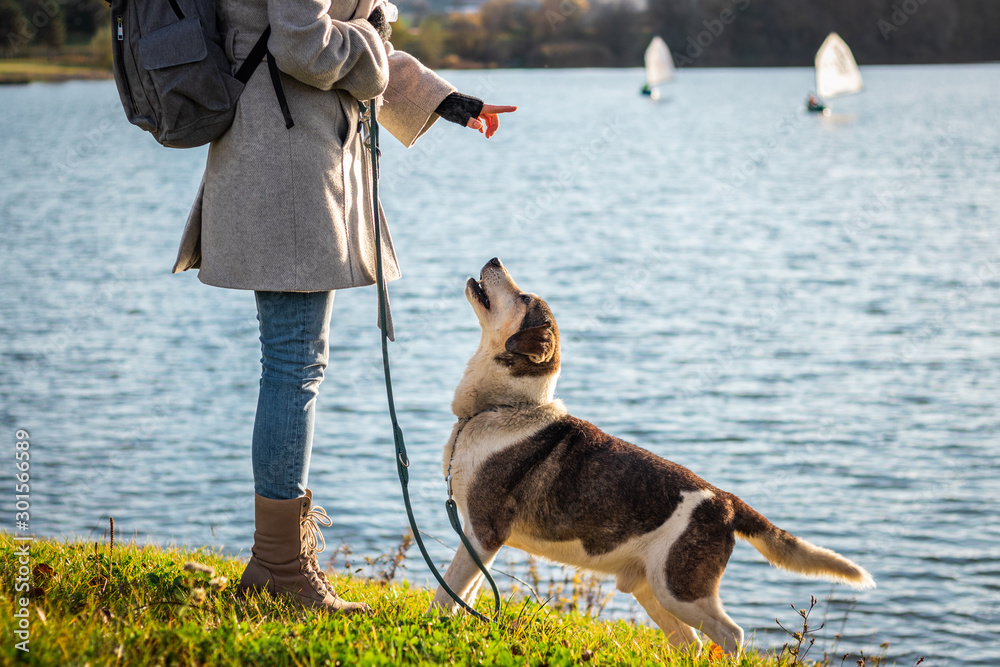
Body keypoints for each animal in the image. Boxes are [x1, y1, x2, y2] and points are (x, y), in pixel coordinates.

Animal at [430, 258, 876, 656]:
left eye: (522, 297)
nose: (494, 259)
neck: (503, 407)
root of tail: (728, 503)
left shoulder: (485, 532)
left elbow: (446, 591)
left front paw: (432, 628)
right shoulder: (479, 538)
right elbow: (465, 591)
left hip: (679, 589)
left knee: (730, 635)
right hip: (651, 589)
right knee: (691, 644)